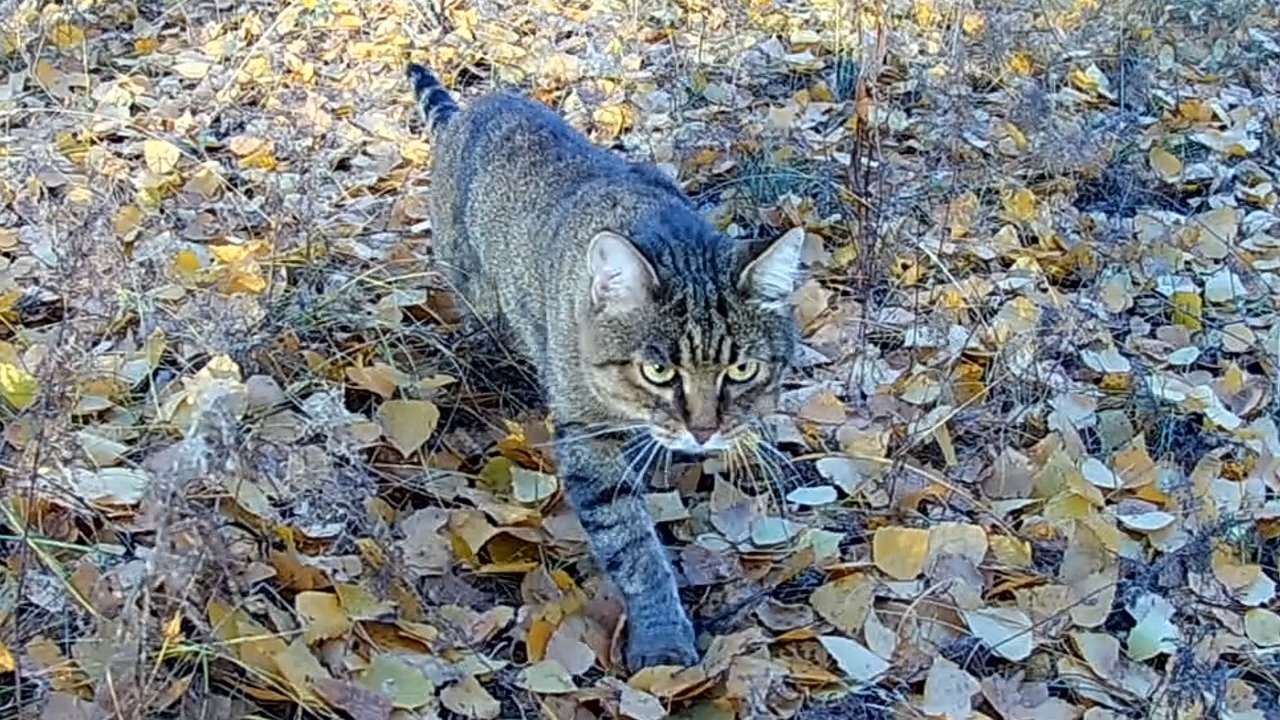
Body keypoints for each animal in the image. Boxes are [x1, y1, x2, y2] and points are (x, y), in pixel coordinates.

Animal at [407, 61, 798, 666]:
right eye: (659, 371)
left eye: (741, 371)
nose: (704, 432)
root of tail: (472, 108)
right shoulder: (588, 439)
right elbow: (634, 548)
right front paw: (662, 640)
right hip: (474, 290)